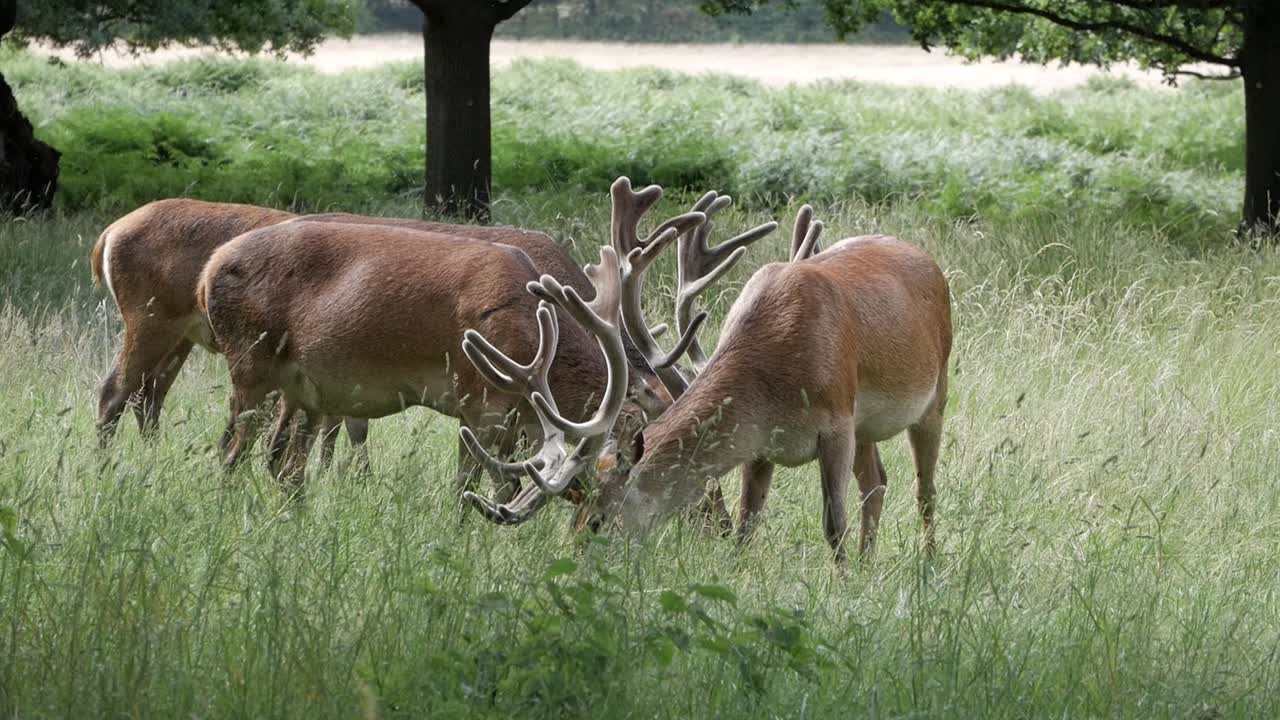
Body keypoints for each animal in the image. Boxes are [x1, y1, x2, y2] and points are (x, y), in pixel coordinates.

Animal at [464, 205, 952, 563]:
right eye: (574, 520)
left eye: (598, 520)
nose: (575, 560)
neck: (773, 374)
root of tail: (928, 260)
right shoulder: (761, 444)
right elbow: (746, 525)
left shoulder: (836, 422)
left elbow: (834, 525)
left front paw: (842, 582)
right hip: (867, 426)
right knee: (877, 482)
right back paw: (871, 562)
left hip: (934, 392)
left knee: (924, 489)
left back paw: (927, 563)